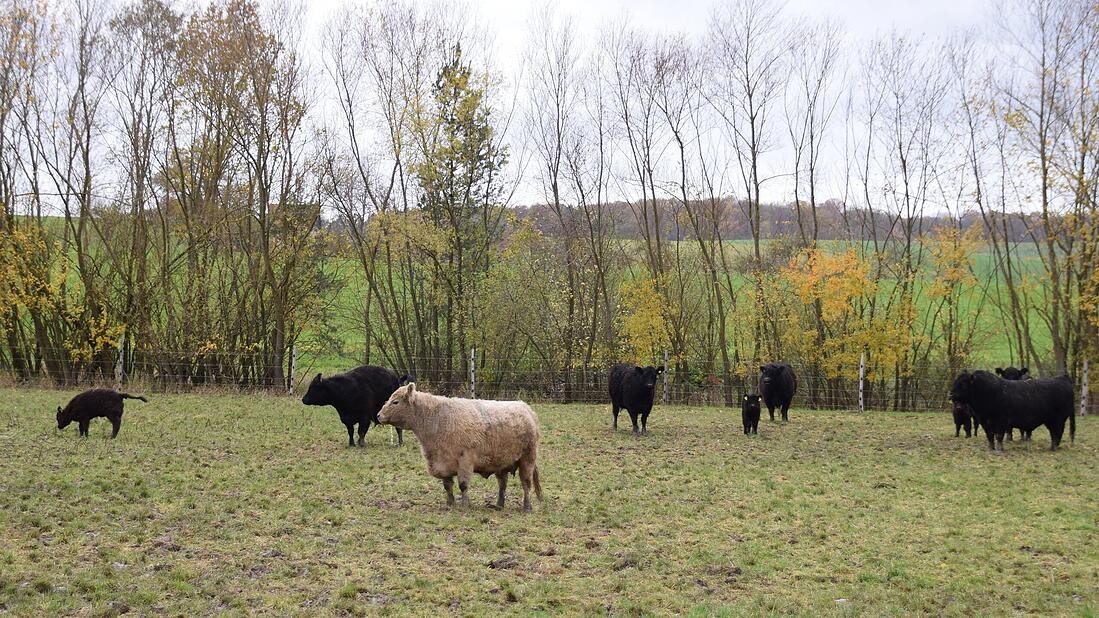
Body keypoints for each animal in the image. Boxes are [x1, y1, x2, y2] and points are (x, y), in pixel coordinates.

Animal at [949, 367, 1077, 450]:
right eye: (955, 382)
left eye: (963, 384)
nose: (950, 395)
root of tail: (1062, 378)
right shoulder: (984, 421)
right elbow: (990, 436)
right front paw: (991, 448)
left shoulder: (1001, 421)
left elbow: (999, 435)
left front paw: (999, 449)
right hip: (1051, 420)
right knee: (1054, 433)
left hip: (1059, 419)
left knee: (1057, 433)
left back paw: (1054, 447)